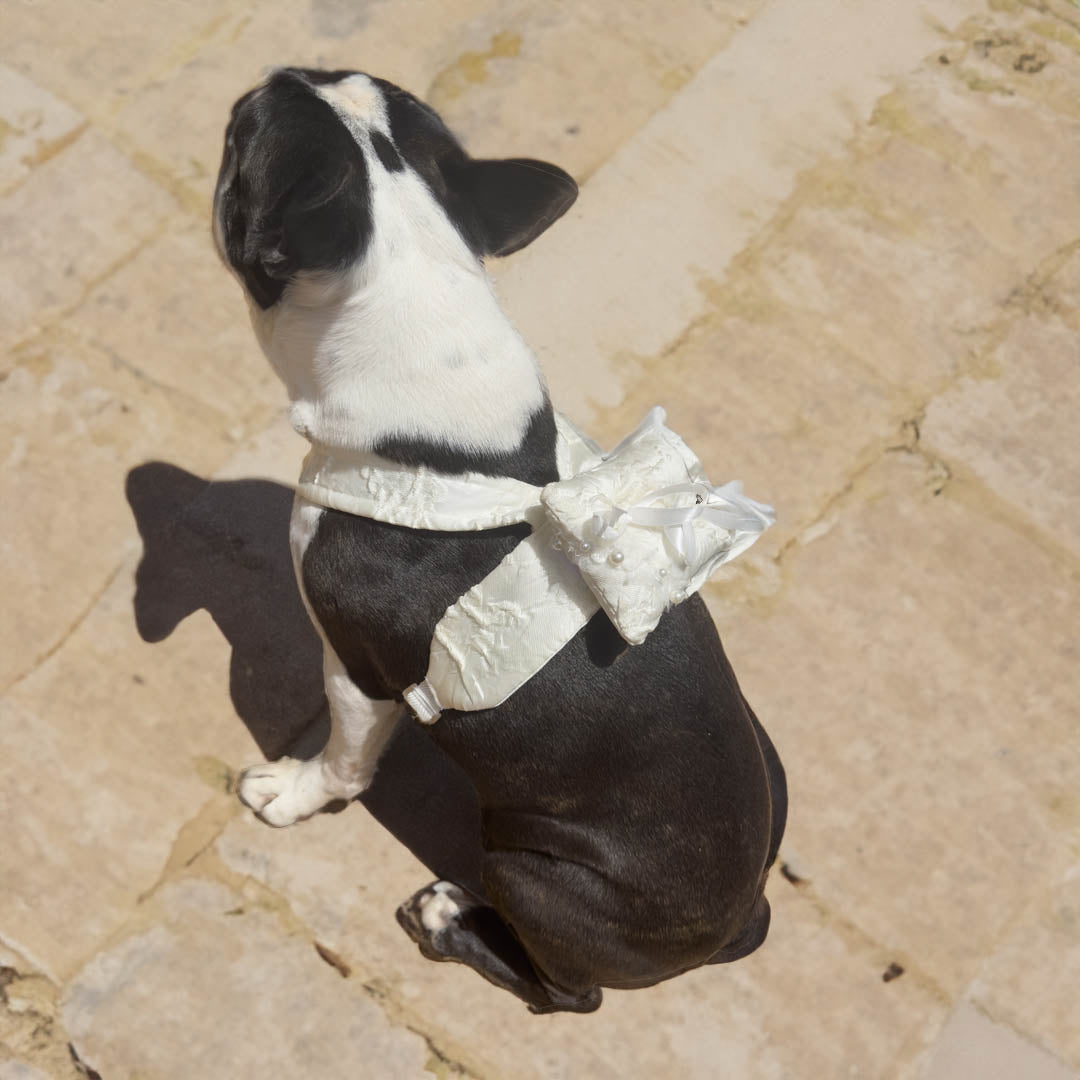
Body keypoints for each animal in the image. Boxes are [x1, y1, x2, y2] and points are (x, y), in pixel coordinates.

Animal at [212, 67, 786, 1010]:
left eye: (239, 139)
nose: (280, 71)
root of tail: (740, 920)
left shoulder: (358, 670)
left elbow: (343, 761)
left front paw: (292, 792)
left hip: (530, 871)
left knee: (567, 990)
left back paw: (451, 920)